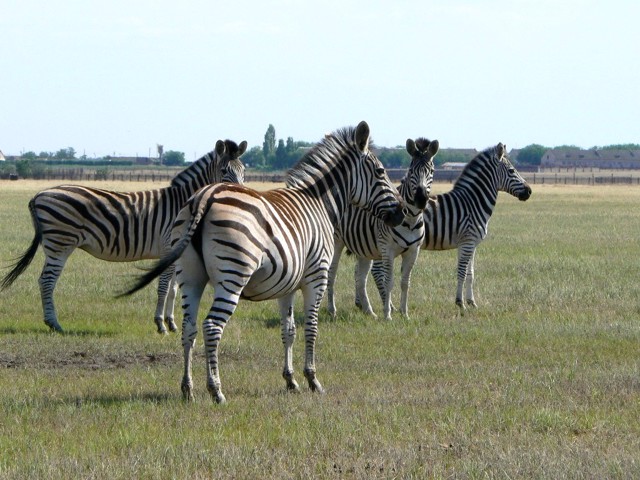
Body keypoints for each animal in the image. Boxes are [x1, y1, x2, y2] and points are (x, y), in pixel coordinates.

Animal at [0, 139, 248, 334]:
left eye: (243, 171)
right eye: (224, 170)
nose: (241, 194)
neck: (185, 203)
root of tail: (39, 194)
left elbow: (174, 289)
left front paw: (171, 323)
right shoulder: (169, 248)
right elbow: (164, 286)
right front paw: (161, 324)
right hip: (60, 243)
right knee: (47, 280)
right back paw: (54, 323)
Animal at [121, 122, 404, 404]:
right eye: (381, 172)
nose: (402, 214)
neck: (320, 203)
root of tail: (204, 198)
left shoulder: (288, 284)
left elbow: (289, 330)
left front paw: (291, 380)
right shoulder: (316, 277)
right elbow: (311, 327)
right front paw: (313, 379)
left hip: (191, 277)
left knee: (188, 328)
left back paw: (187, 389)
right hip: (232, 276)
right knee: (211, 327)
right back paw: (216, 390)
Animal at [328, 137, 438, 320]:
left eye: (432, 170)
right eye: (411, 170)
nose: (421, 199)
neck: (411, 219)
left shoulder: (413, 251)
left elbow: (405, 283)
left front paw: (405, 314)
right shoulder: (388, 250)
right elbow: (389, 282)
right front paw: (388, 315)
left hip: (363, 247)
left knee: (360, 278)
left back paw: (369, 311)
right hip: (337, 241)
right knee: (332, 273)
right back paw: (332, 310)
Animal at [368, 142, 532, 316]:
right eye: (512, 171)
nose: (529, 191)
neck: (473, 203)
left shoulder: (471, 244)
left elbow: (470, 273)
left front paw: (472, 302)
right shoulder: (467, 242)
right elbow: (461, 272)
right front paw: (460, 303)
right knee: (377, 271)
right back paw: (389, 306)